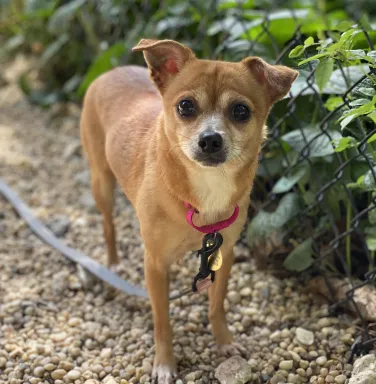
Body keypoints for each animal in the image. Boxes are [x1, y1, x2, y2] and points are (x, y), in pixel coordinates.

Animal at [81, 40, 298, 382]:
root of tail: (110, 71)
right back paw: (113, 263)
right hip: (101, 181)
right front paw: (164, 363)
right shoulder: (155, 264)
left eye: (240, 111)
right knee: (107, 224)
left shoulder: (225, 253)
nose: (210, 140)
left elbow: (216, 306)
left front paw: (224, 343)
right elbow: (162, 321)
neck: (205, 190)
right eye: (185, 106)